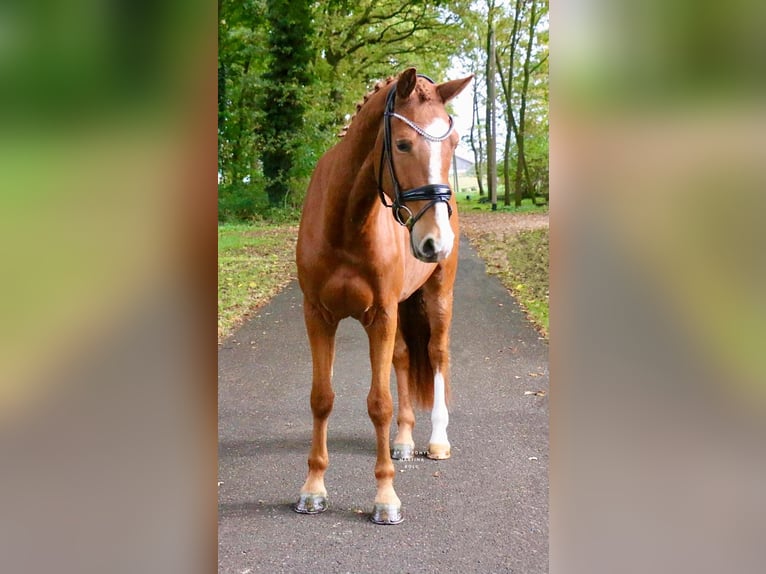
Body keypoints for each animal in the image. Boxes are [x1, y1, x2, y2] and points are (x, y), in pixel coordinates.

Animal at [294, 68, 473, 524]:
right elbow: (321, 398)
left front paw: (385, 498)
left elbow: (379, 404)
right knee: (405, 359)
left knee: (437, 353)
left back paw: (438, 441)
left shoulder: (381, 315)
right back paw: (405, 440)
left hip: (437, 295)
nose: (435, 242)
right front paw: (312, 489)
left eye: (453, 144)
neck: (346, 222)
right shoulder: (318, 315)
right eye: (403, 144)